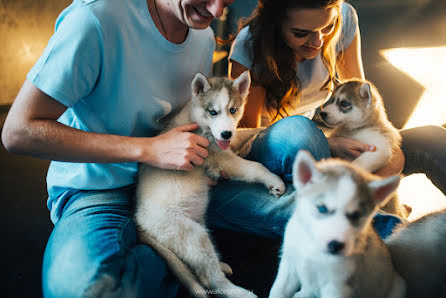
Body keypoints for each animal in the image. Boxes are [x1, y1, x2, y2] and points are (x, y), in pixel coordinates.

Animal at [134, 71, 286, 298]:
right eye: (212, 112)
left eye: (233, 110)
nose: (225, 134)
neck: (198, 122)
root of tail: (138, 220)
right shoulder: (220, 158)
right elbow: (254, 167)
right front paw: (274, 181)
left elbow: (245, 131)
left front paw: (263, 128)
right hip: (190, 234)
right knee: (209, 277)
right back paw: (240, 292)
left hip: (198, 223)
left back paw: (221, 265)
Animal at [270, 151, 406, 298]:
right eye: (322, 208)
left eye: (356, 215)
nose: (335, 245)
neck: (312, 246)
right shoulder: (289, 264)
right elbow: (278, 290)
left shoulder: (337, 286)